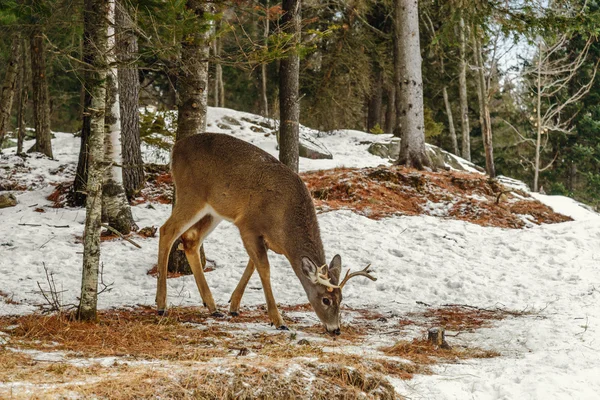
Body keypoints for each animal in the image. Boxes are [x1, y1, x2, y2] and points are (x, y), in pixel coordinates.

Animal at [157, 133, 378, 332]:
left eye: (341, 298)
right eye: (325, 300)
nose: (335, 329)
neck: (284, 226)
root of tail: (175, 148)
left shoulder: (266, 238)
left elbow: (252, 265)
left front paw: (233, 306)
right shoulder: (248, 224)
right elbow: (264, 268)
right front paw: (278, 320)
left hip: (214, 210)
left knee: (191, 239)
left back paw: (212, 307)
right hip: (191, 194)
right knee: (167, 230)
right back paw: (161, 305)